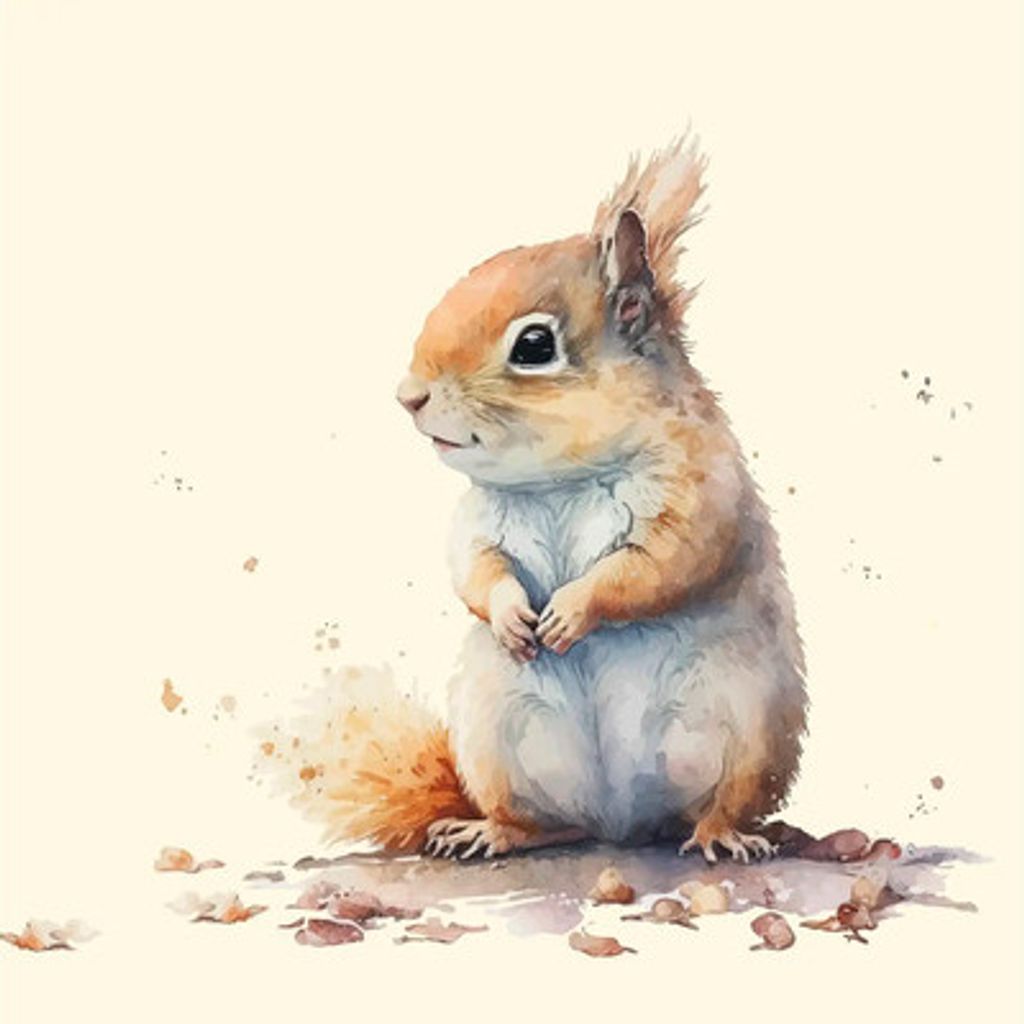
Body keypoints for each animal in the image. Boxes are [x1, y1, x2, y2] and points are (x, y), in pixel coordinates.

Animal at [281, 137, 807, 864]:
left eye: (534, 345)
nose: (408, 396)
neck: (561, 479)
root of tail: (624, 824)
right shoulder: (478, 524)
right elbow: (475, 570)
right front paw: (512, 616)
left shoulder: (700, 493)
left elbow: (658, 567)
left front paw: (571, 611)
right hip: (497, 738)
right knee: (543, 822)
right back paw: (486, 831)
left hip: (747, 733)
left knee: (718, 804)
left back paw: (722, 834)